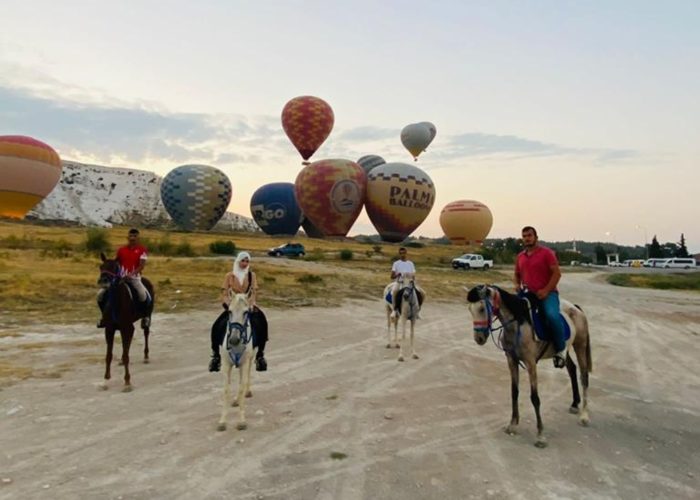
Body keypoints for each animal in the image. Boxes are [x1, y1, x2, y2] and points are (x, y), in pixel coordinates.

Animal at [96, 254, 154, 390]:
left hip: (146, 317)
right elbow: (109, 355)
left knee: (146, 333)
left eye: (114, 267)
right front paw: (106, 380)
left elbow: (127, 354)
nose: (103, 281)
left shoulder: (125, 327)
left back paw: (146, 356)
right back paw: (122, 360)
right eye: (101, 266)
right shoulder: (109, 329)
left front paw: (127, 381)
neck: (117, 302)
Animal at [216, 294, 258, 432]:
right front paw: (222, 421)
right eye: (229, 311)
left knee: (246, 377)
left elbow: (241, 388)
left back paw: (245, 393)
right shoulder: (225, 364)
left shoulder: (244, 362)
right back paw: (236, 400)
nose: (234, 340)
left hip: (250, 358)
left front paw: (241, 421)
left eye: (246, 312)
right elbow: (226, 390)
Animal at [464, 286, 592, 450]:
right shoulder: (511, 360)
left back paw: (584, 416)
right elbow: (514, 392)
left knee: (584, 376)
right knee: (572, 369)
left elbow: (535, 398)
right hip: (565, 350)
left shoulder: (531, 363)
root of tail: (576, 308)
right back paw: (575, 404)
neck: (517, 324)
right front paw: (512, 425)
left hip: (580, 345)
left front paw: (540, 436)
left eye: (481, 308)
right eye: (470, 309)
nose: (478, 338)